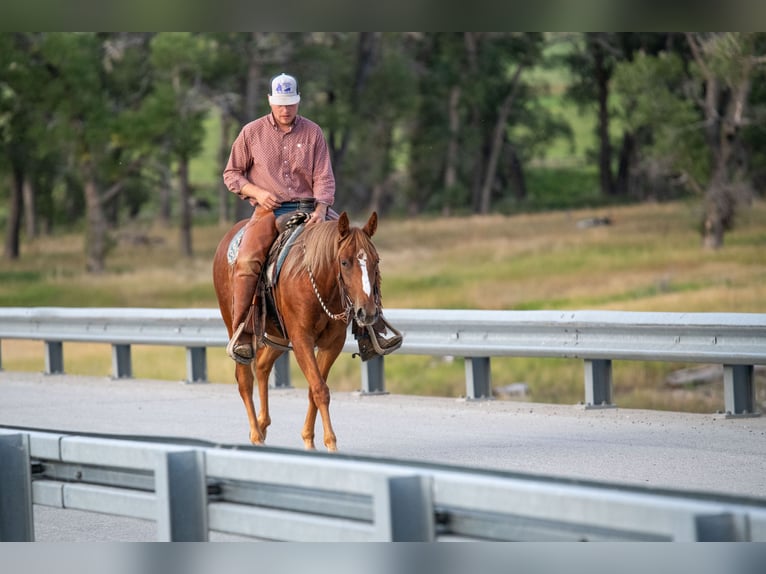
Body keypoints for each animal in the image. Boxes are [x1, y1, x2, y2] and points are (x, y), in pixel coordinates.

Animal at [212, 211, 382, 452]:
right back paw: (256, 435)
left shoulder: (332, 343)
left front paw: (309, 439)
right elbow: (320, 389)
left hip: (278, 336)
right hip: (235, 326)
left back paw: (262, 424)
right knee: (244, 379)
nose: (367, 312)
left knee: (262, 366)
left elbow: (314, 389)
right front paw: (331, 444)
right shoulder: (302, 339)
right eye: (344, 262)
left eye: (376, 261)